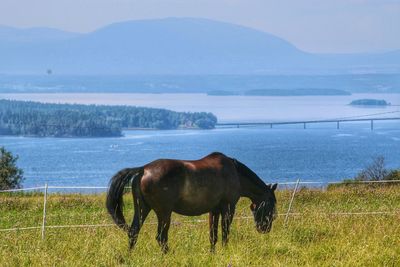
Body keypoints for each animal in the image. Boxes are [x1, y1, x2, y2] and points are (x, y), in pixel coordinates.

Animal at [106, 153, 278, 253]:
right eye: (271, 207)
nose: (265, 229)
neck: (234, 173)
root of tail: (143, 169)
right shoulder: (228, 208)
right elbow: (225, 233)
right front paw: (224, 251)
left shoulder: (214, 210)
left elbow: (213, 235)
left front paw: (212, 253)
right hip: (164, 213)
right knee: (161, 237)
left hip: (143, 209)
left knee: (133, 232)